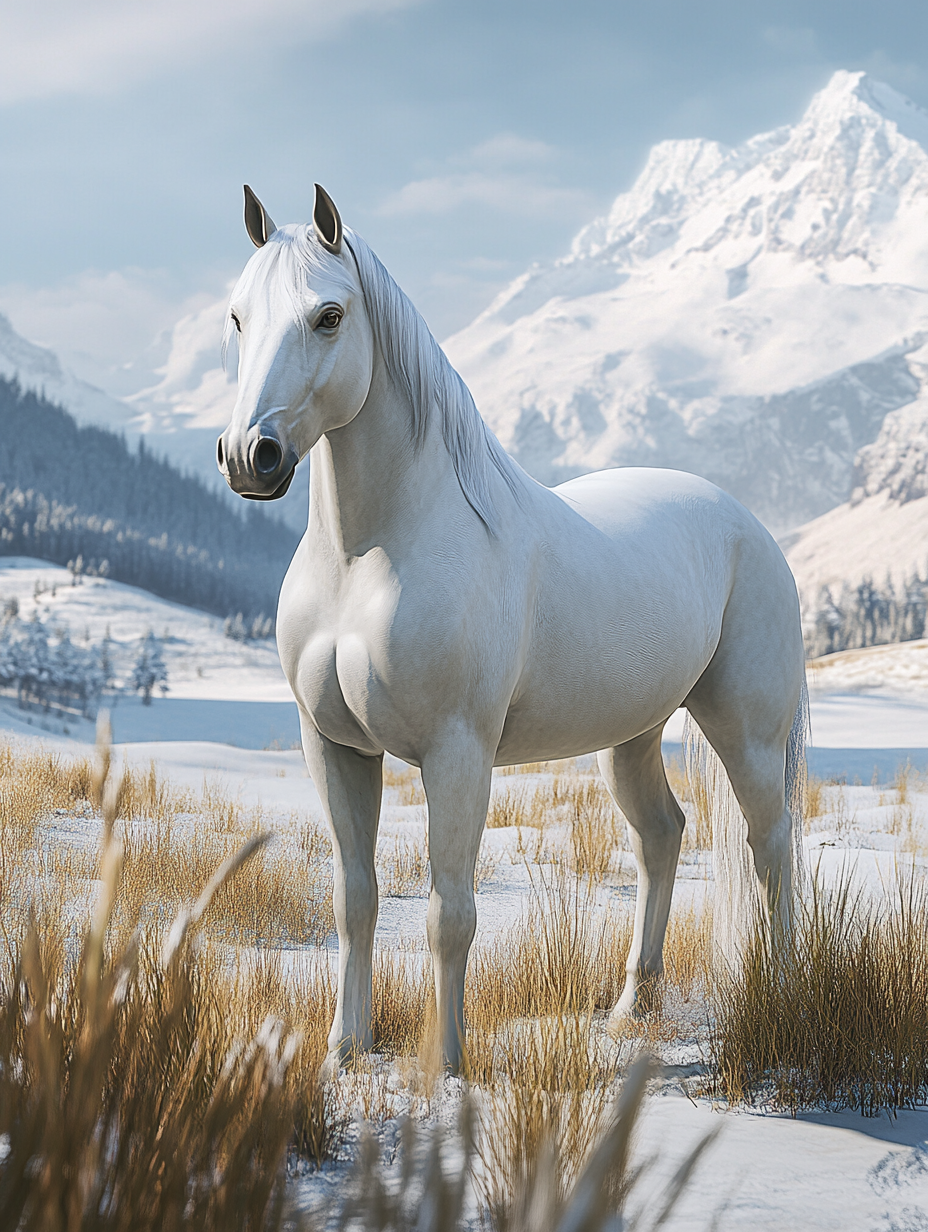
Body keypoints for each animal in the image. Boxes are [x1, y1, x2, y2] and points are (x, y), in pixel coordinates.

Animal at [217, 183, 807, 1072]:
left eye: (328, 316)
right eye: (238, 317)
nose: (250, 456)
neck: (368, 559)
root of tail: (749, 526)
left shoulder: (457, 753)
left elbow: (449, 913)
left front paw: (445, 1065)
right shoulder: (335, 747)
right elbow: (355, 900)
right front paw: (344, 1050)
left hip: (748, 733)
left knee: (769, 848)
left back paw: (785, 1000)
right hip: (630, 737)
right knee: (662, 837)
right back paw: (628, 1013)